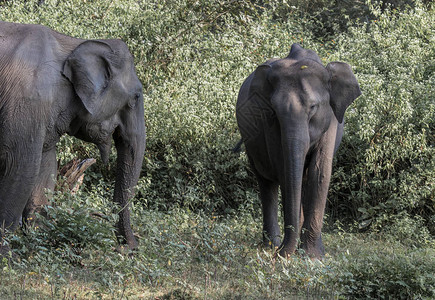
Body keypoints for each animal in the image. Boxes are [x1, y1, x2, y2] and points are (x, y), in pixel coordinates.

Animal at [0, 20, 146, 253]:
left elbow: (46, 171)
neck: (72, 43)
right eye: (135, 97)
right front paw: (7, 256)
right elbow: (21, 168)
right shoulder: (27, 103)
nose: (129, 247)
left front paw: (37, 247)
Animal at [237, 43, 362, 258]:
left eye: (313, 107)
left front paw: (314, 256)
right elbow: (284, 172)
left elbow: (319, 172)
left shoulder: (331, 121)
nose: (282, 254)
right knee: (266, 182)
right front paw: (292, 252)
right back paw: (270, 245)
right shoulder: (269, 125)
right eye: (274, 110)